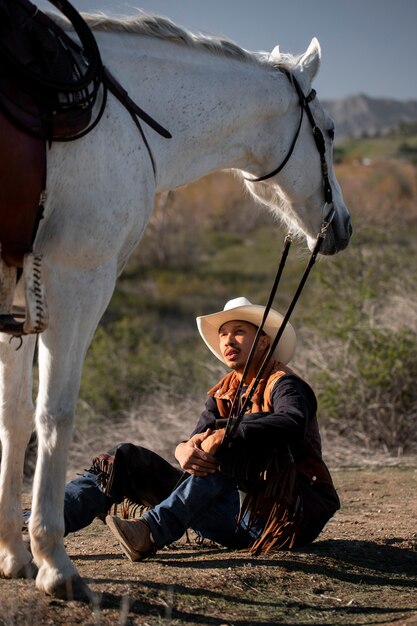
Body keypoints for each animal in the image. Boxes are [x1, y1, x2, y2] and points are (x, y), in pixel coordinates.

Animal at [0, 9, 352, 596]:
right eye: (326, 132)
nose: (342, 225)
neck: (117, 117)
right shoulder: (78, 279)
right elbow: (55, 412)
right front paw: (53, 563)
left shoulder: (21, 290)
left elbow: (15, 416)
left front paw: (14, 553)